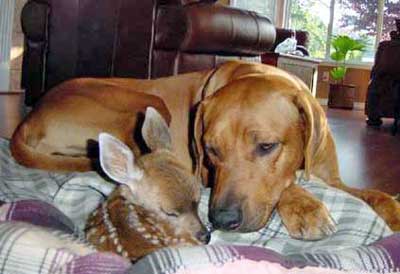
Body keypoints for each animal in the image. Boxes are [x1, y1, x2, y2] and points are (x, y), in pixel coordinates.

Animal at [10, 61, 400, 239]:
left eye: (267, 146)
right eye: (211, 150)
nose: (222, 220)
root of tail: (29, 118)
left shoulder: (333, 181)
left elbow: (377, 194)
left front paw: (393, 212)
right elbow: (287, 185)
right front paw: (304, 206)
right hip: (147, 102)